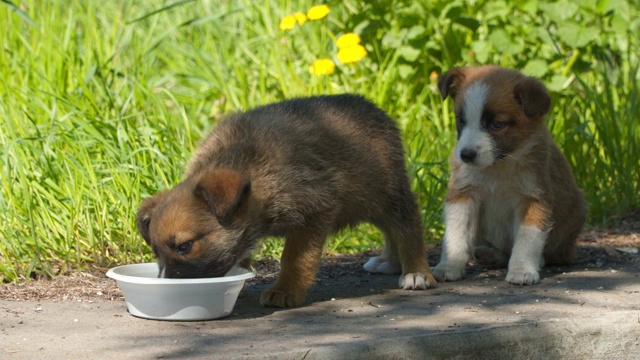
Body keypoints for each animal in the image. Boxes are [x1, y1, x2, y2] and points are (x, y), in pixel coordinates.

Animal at [135, 93, 436, 306]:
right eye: (156, 252)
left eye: (185, 246)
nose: (166, 287)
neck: (252, 174)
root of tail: (376, 110)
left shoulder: (315, 210)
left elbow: (294, 258)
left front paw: (285, 290)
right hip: (369, 198)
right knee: (389, 229)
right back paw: (390, 262)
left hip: (388, 193)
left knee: (407, 225)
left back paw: (417, 272)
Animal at [432, 66, 588, 286]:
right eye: (461, 121)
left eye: (497, 124)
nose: (466, 155)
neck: (498, 167)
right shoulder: (463, 195)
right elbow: (456, 235)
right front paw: (449, 266)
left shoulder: (533, 198)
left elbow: (527, 238)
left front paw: (522, 270)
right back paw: (489, 255)